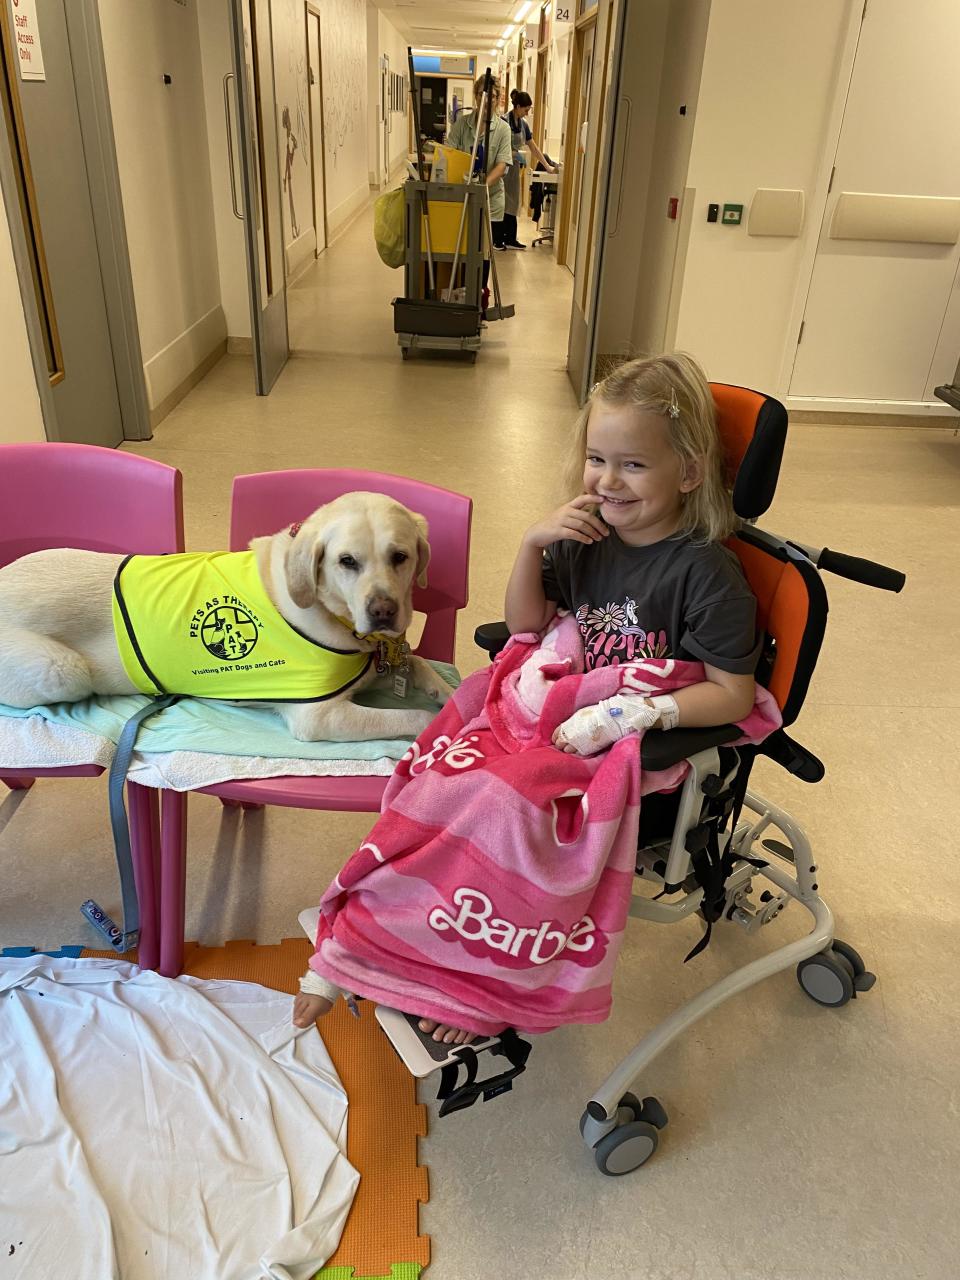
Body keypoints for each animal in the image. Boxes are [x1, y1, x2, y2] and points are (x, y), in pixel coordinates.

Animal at [0, 494, 455, 747]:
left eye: (400, 556)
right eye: (347, 561)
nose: (383, 612)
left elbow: (417, 661)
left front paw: (445, 691)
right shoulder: (319, 716)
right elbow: (413, 717)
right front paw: (435, 722)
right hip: (62, 670)